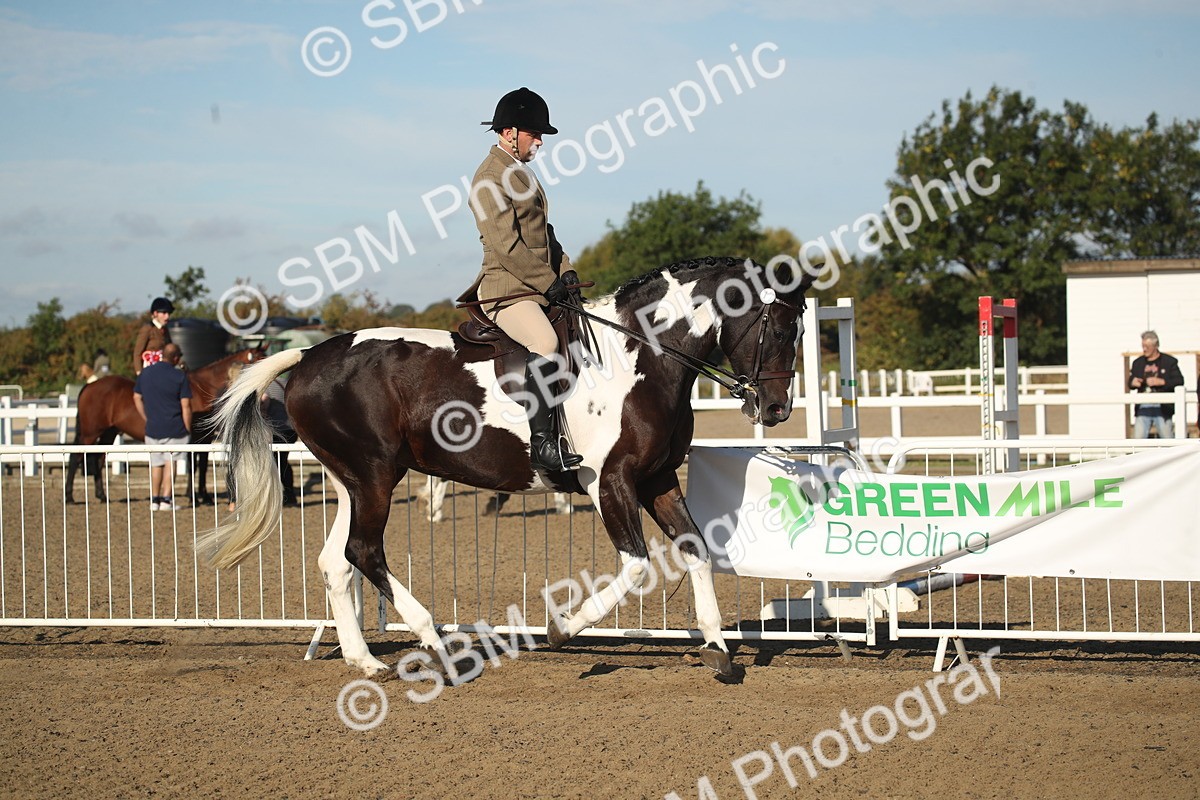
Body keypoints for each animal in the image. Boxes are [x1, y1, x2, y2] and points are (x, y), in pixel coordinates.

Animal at [65, 347, 266, 503]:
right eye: (259, 360)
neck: (204, 388)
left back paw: (101, 495)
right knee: (76, 457)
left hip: (109, 432)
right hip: (90, 433)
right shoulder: (193, 438)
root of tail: (90, 386)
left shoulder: (205, 439)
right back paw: (69, 497)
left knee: (98, 458)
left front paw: (204, 496)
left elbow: (201, 465)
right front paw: (193, 496)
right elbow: (193, 466)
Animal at [200, 256, 815, 680]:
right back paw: (434, 639)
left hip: (354, 482)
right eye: (784, 330)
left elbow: (696, 550)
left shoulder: (658, 480)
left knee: (336, 561)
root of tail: (306, 356)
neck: (640, 357)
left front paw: (718, 650)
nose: (776, 410)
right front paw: (562, 629)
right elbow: (638, 567)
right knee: (363, 552)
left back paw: (365, 660)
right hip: (374, 477)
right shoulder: (611, 481)